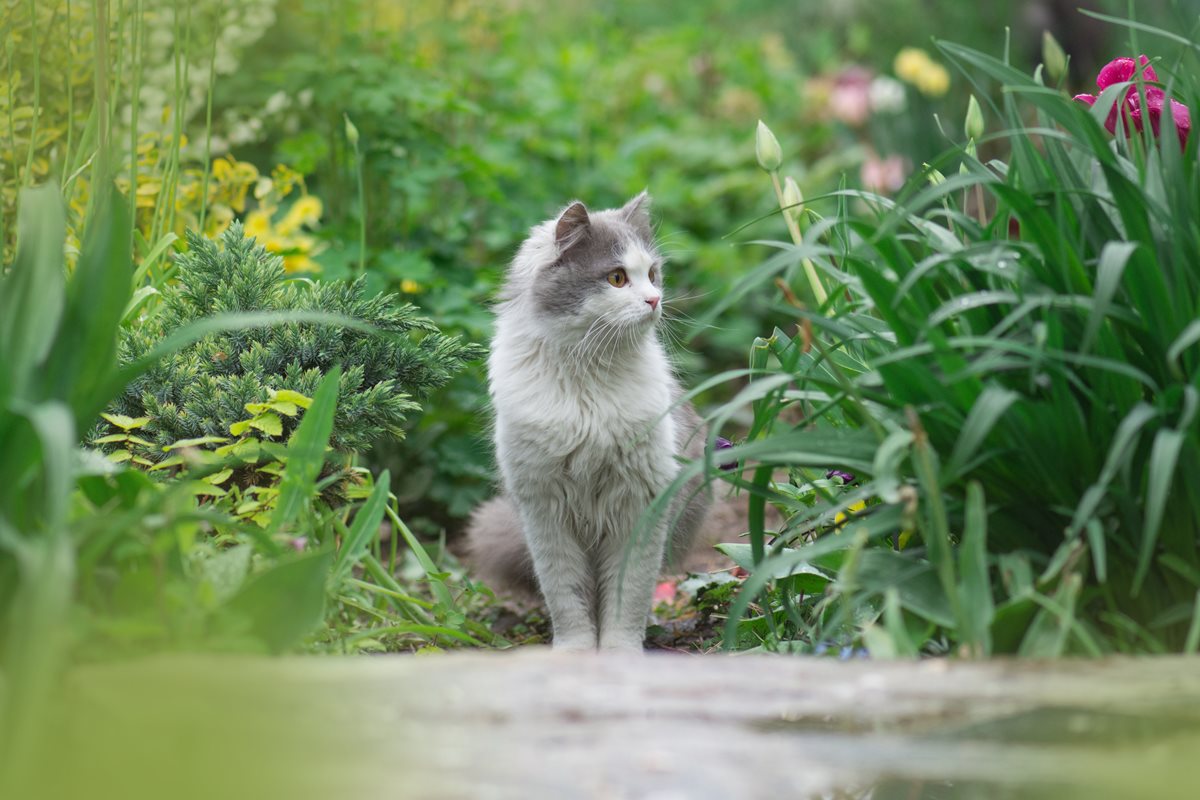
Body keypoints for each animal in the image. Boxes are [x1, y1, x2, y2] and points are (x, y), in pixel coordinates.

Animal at [465, 191, 710, 652]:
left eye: (652, 274)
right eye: (616, 278)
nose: (654, 300)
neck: (588, 376)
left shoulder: (639, 504)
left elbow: (627, 597)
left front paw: (618, 654)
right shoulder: (544, 509)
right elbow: (567, 597)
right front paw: (577, 651)